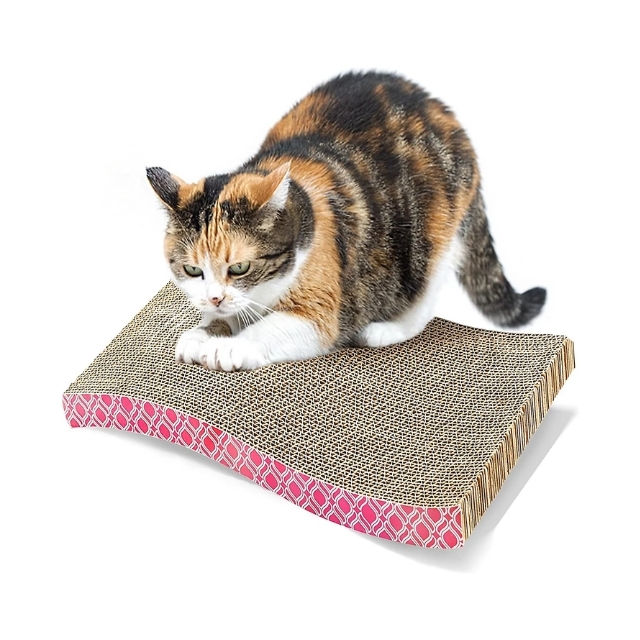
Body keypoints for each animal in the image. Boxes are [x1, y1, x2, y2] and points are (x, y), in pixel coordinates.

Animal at [146, 71, 546, 371]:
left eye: (240, 267)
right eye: (193, 270)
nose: (214, 298)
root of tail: (440, 109)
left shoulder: (321, 311)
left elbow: (271, 327)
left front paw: (229, 346)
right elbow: (227, 316)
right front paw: (203, 334)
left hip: (432, 232)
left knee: (425, 295)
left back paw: (387, 328)